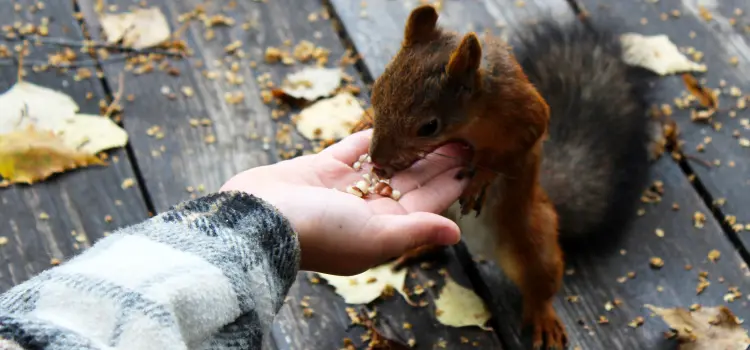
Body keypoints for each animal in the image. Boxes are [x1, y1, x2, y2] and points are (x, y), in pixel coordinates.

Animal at [352, 4, 652, 348]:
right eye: (376, 91)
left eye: (429, 127)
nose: (378, 161)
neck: (473, 118)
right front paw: (363, 122)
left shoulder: (521, 110)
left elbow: (524, 139)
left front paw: (481, 175)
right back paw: (416, 247)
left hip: (535, 240)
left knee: (541, 285)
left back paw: (542, 317)